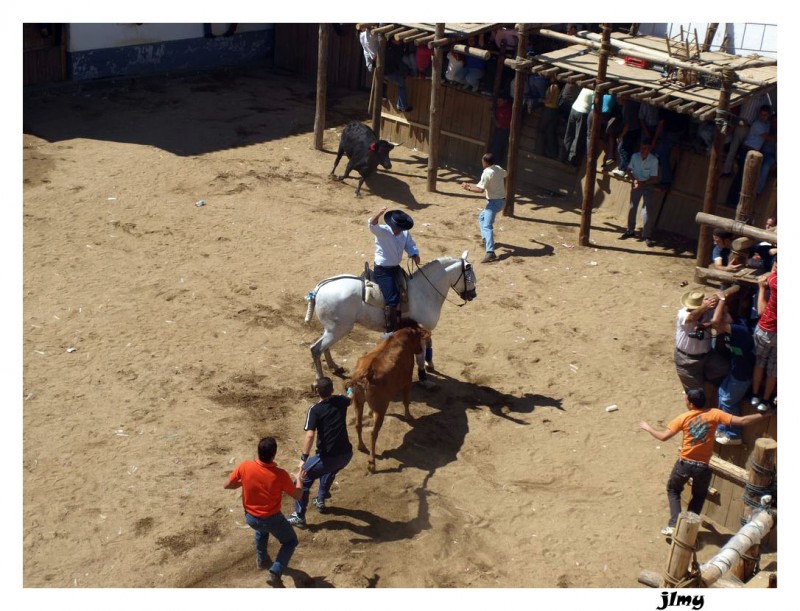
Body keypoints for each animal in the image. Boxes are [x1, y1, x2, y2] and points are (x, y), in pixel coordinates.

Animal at [302, 251, 476, 380]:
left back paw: (335, 367)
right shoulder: (421, 330)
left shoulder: (425, 329)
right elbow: (420, 354)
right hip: (338, 329)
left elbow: (429, 345)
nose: (472, 295)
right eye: (470, 277)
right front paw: (423, 376)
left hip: (332, 329)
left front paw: (430, 365)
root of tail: (318, 289)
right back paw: (320, 380)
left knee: (323, 347)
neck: (424, 290)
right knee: (315, 349)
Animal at [346, 322, 432, 476]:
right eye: (420, 339)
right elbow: (406, 401)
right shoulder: (407, 381)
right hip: (380, 409)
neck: (402, 338)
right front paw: (408, 416)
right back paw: (372, 464)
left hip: (358, 401)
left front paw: (370, 413)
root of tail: (365, 375)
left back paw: (361, 446)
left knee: (358, 424)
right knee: (373, 433)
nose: (420, 350)